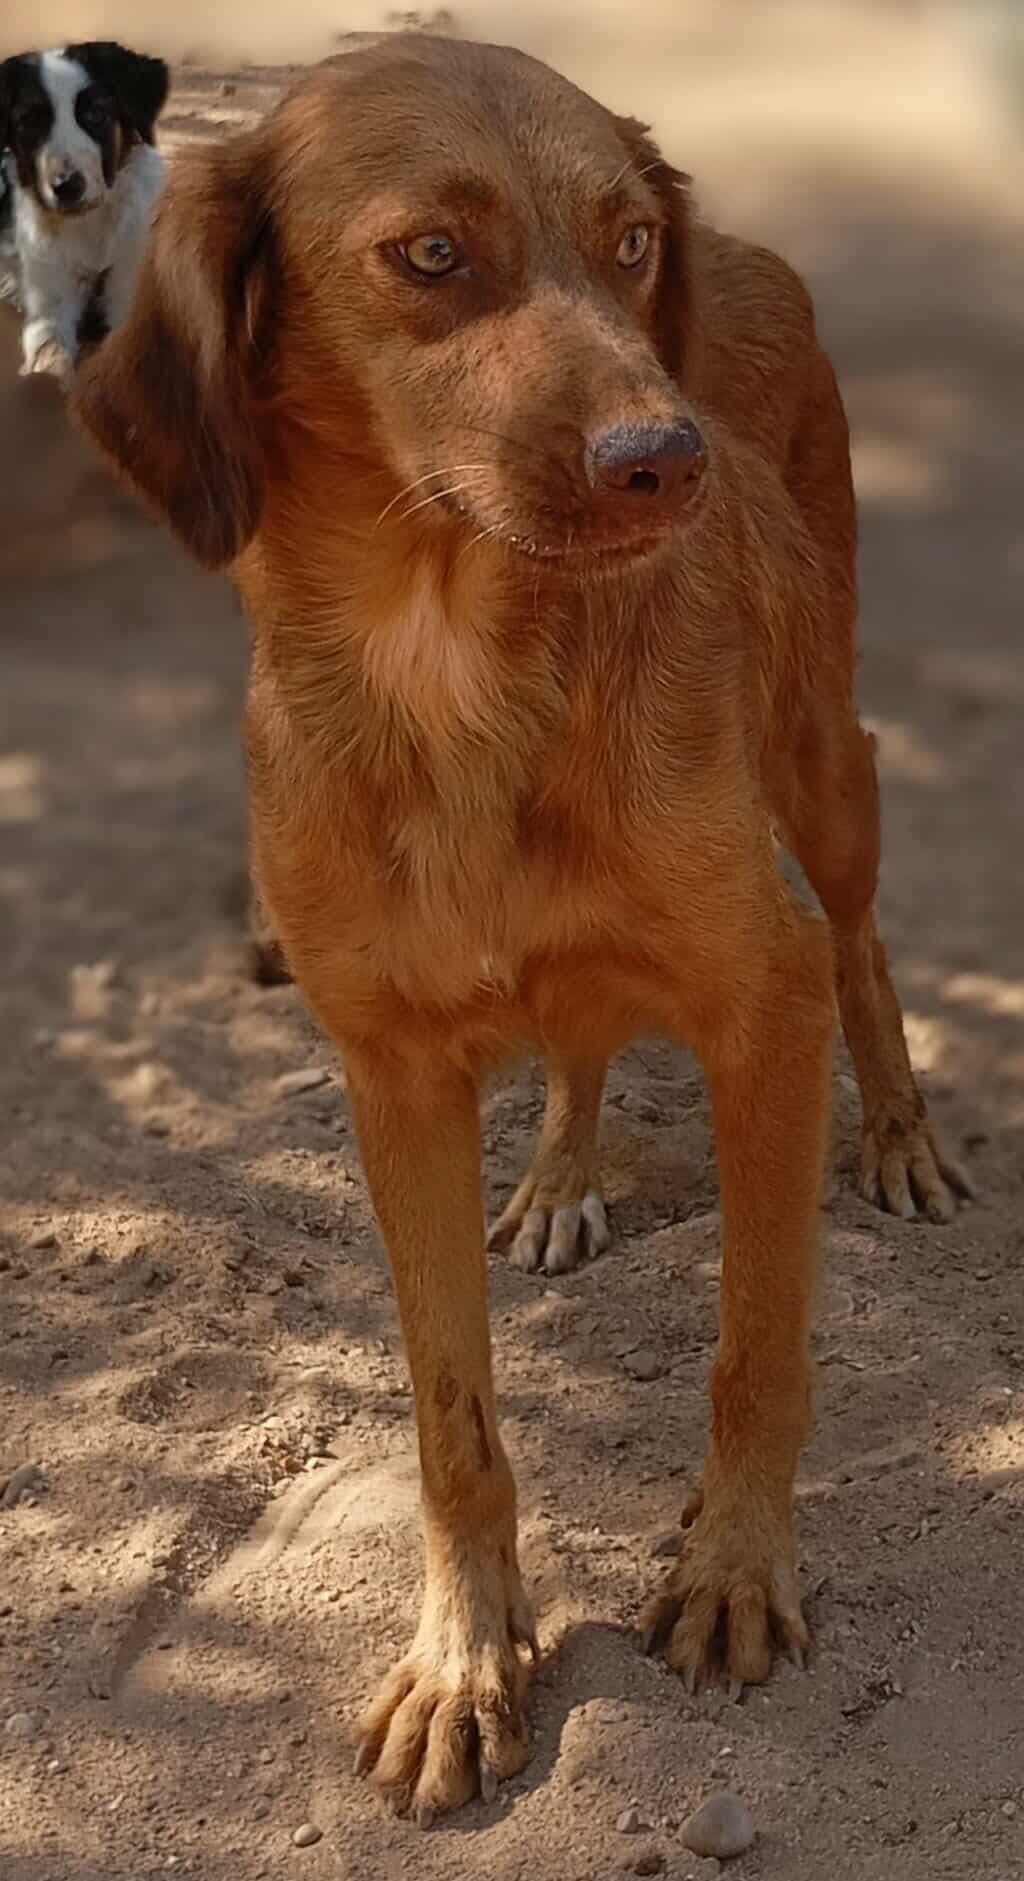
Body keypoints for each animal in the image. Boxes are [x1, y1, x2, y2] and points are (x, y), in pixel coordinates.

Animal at [0, 41, 168, 381]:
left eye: (96, 114)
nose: (67, 187)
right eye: (29, 123)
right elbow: (51, 359)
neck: (90, 225)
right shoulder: (48, 307)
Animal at [73, 34, 973, 1822]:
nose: (667, 459)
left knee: (861, 938)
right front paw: (464, 1660)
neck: (458, 674)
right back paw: (561, 1175)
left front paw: (732, 1571)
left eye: (627, 244)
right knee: (577, 1029)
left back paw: (900, 1135)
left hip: (826, 764)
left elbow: (755, 1350)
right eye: (432, 253)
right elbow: (452, 1421)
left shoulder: (762, 1002)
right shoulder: (390, 1071)